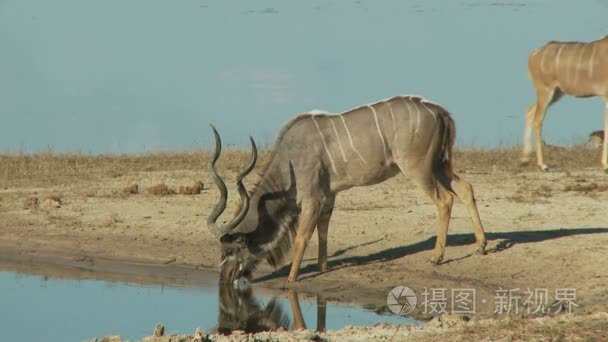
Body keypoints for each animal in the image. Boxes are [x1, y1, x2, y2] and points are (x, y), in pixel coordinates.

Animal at [207, 95, 486, 284]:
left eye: (230, 250)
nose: (223, 279)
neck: (290, 159)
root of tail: (439, 111)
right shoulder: (329, 197)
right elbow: (323, 231)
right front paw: (323, 267)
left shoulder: (312, 199)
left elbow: (302, 237)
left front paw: (291, 279)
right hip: (440, 165)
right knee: (465, 188)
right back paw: (481, 246)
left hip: (419, 169)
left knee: (445, 200)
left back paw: (437, 256)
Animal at [520, 34, 608, 171]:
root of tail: (534, 54)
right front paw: (605, 165)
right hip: (545, 89)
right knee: (538, 119)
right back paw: (542, 164)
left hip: (557, 92)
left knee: (529, 111)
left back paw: (525, 159)